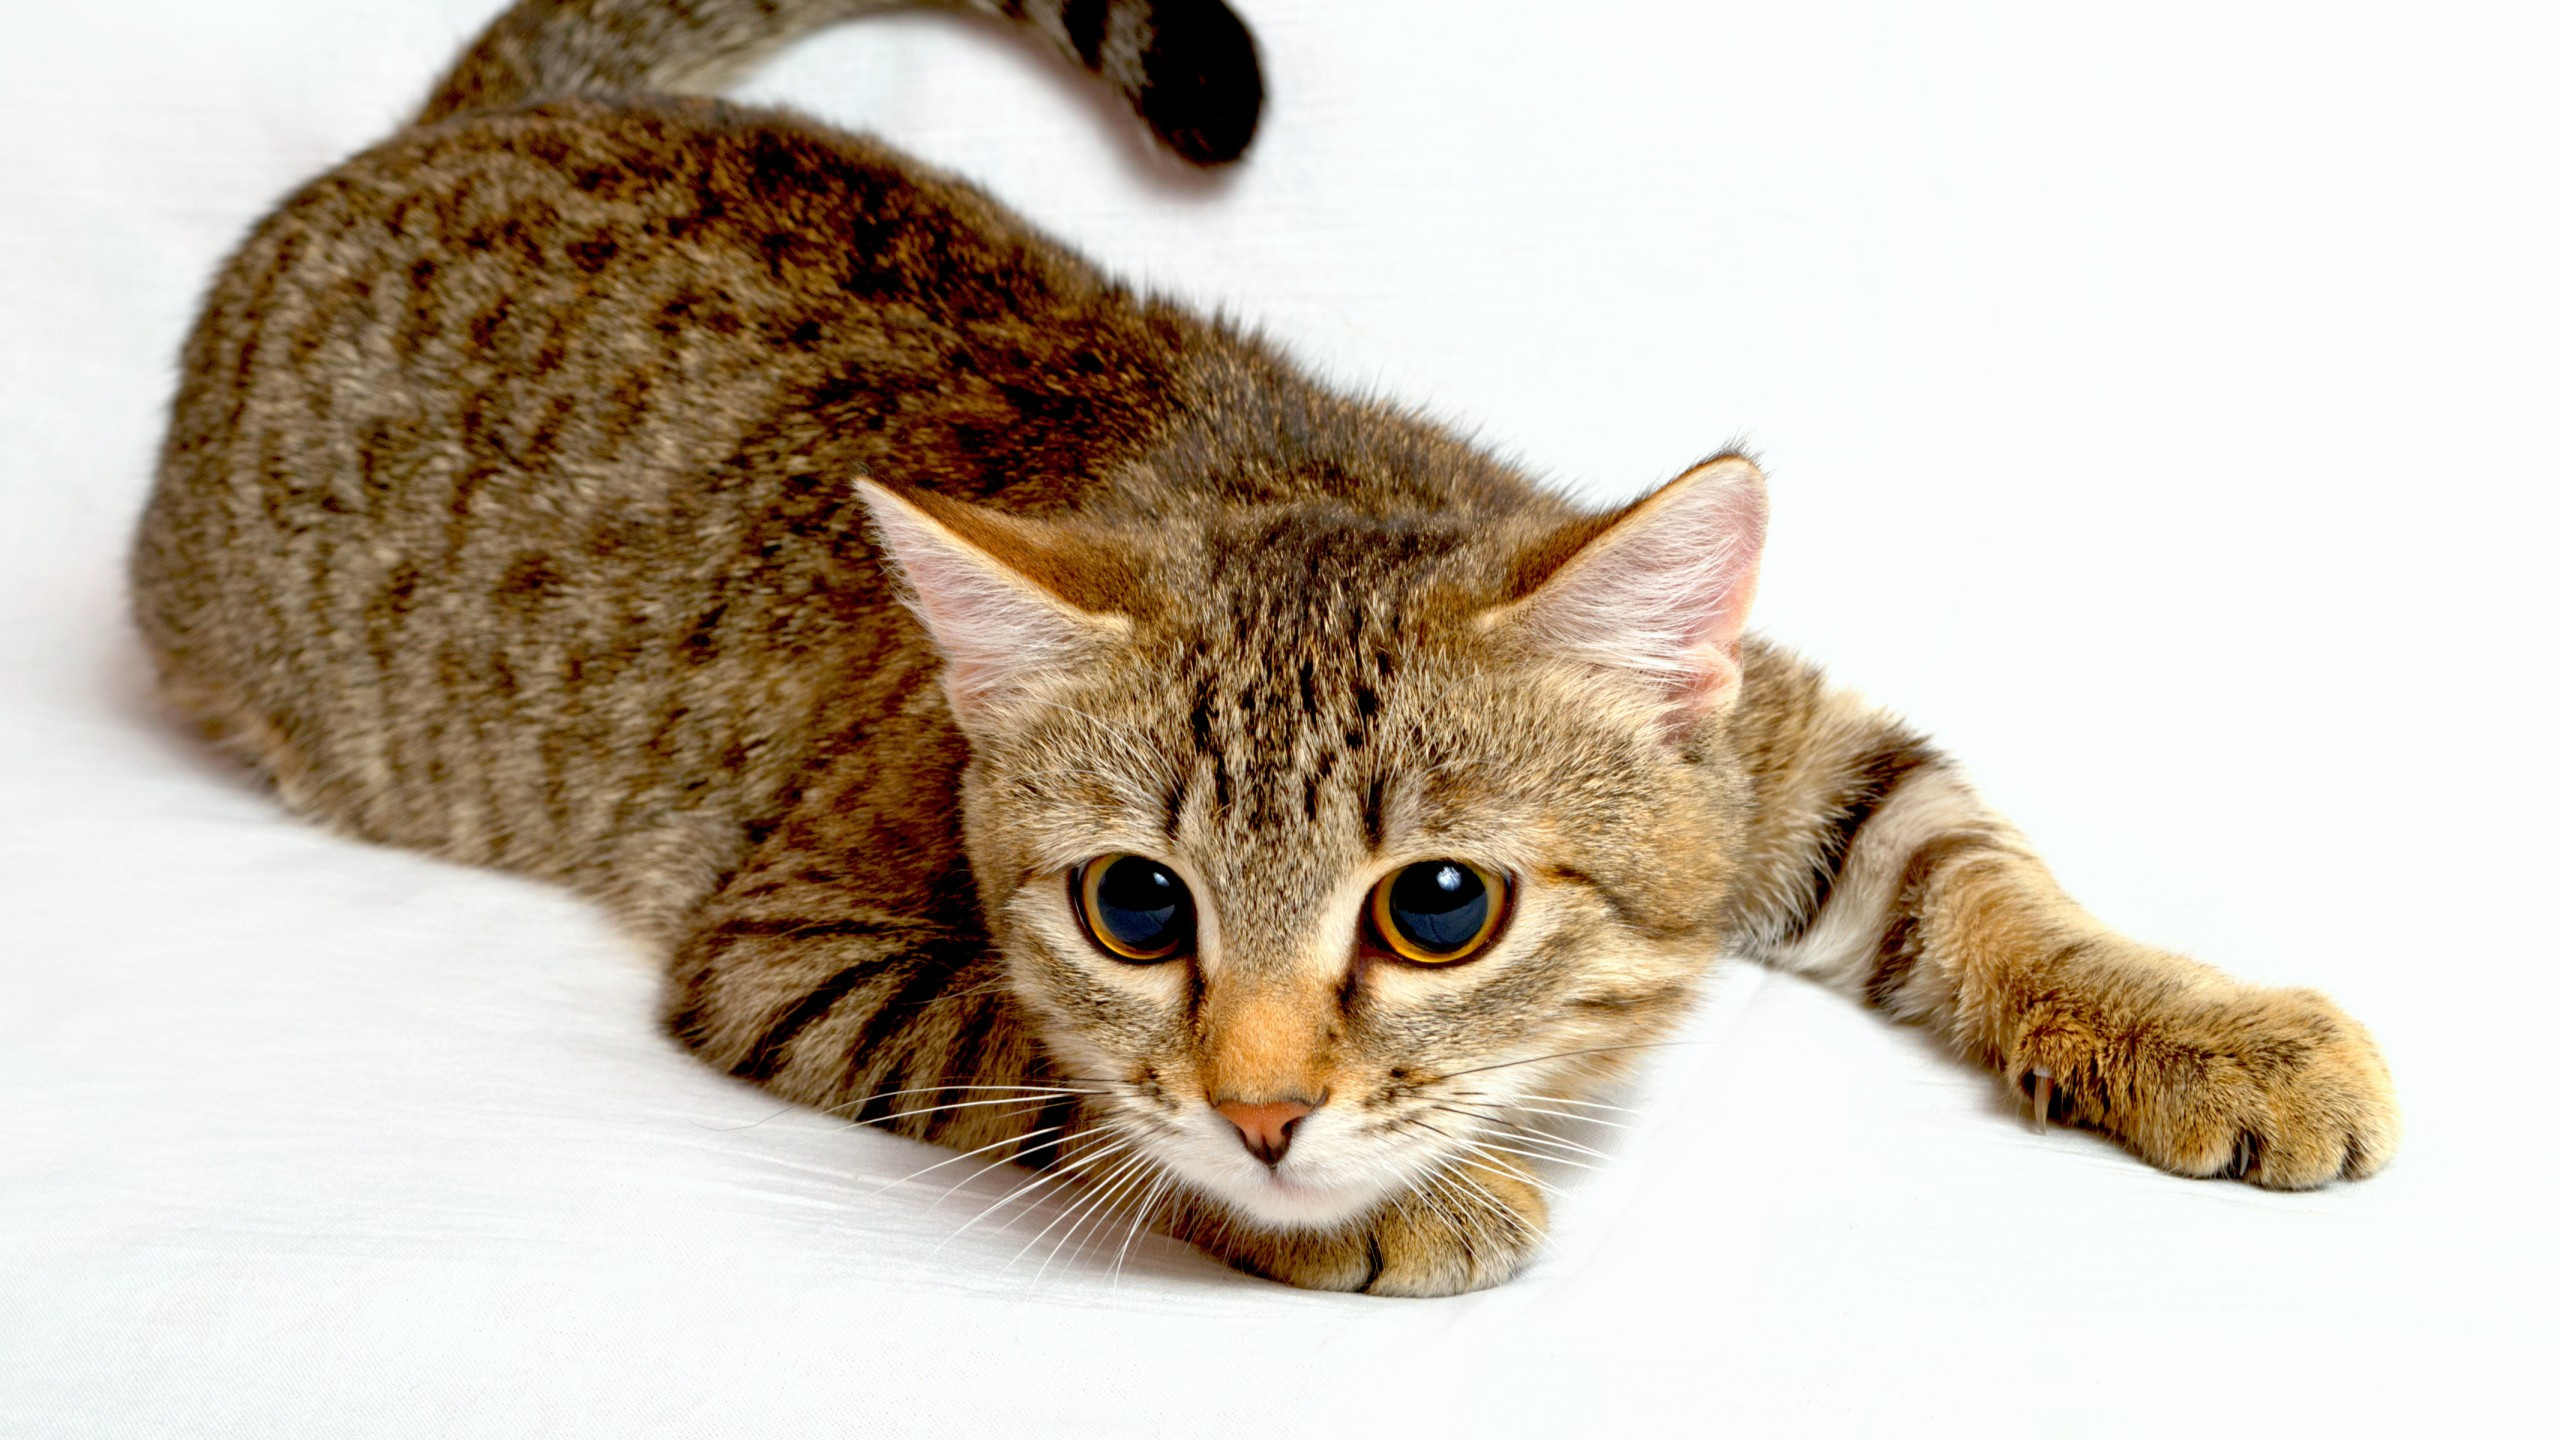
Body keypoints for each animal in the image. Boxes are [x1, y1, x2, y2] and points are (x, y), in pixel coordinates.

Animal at [129, 0, 2385, 1296]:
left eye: (1440, 908)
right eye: (1137, 907)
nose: (1274, 1112)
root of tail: (443, 126)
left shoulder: (1781, 744)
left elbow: (1967, 863)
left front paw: (2207, 1033)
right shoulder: (794, 948)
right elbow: (1031, 1064)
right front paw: (1367, 1197)